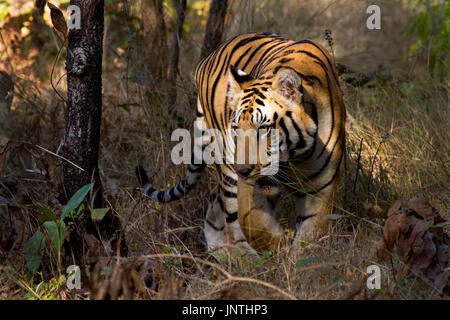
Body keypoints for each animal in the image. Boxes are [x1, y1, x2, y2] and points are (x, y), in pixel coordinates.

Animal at [135, 32, 346, 256]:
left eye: (263, 128)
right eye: (236, 128)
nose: (242, 170)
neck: (296, 155)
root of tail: (206, 59)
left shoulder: (322, 184)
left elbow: (311, 235)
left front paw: (297, 258)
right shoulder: (248, 188)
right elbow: (254, 224)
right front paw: (278, 251)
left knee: (214, 209)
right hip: (226, 168)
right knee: (228, 216)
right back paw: (243, 259)